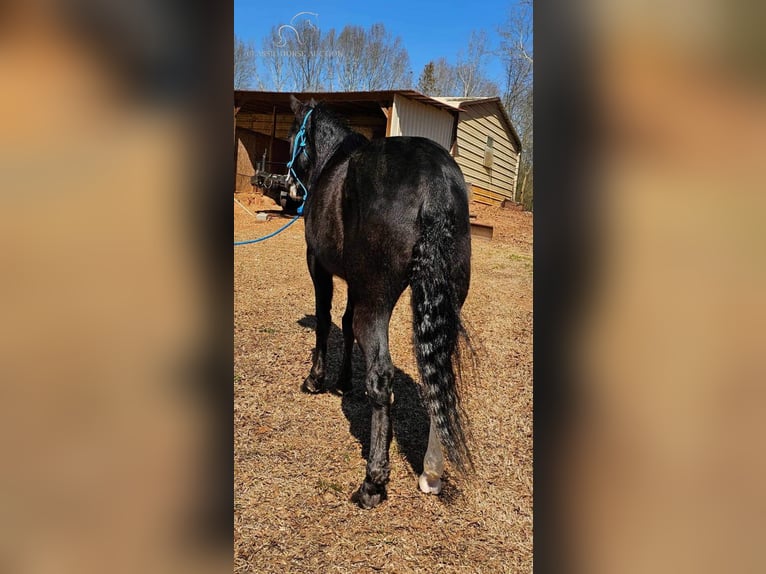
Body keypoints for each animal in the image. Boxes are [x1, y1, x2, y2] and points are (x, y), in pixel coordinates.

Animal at [284, 97, 472, 510]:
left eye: (292, 135)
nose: (288, 186)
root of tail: (436, 182)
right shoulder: (354, 282)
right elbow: (344, 319)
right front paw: (343, 380)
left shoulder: (317, 264)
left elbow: (326, 319)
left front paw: (316, 379)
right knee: (438, 377)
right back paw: (430, 474)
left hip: (377, 303)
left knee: (382, 377)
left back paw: (373, 481)